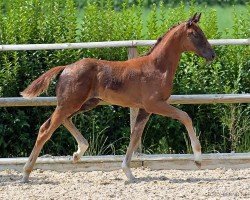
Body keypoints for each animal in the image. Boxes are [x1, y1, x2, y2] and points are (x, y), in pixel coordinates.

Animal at [20, 13, 215, 183]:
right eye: (195, 34)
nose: (212, 55)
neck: (157, 67)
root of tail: (66, 68)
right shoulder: (154, 104)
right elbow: (185, 116)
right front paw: (198, 159)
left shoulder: (144, 110)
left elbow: (135, 136)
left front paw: (128, 172)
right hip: (70, 104)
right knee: (46, 130)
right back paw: (26, 174)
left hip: (84, 104)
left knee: (63, 121)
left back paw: (78, 153)